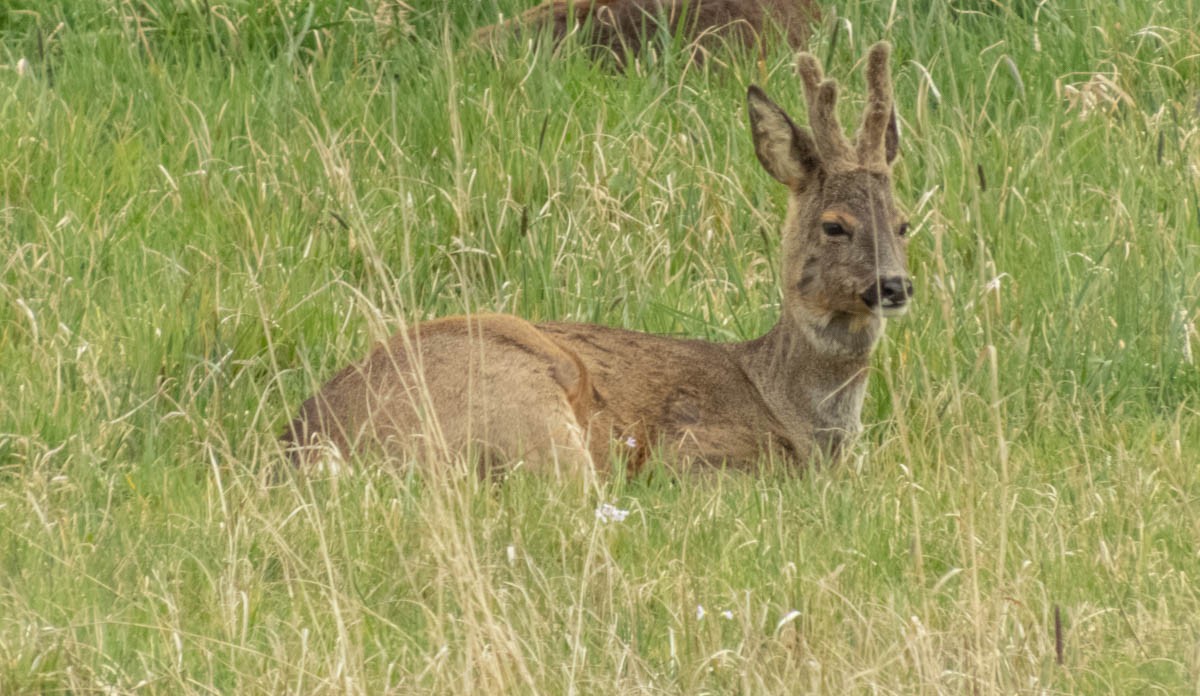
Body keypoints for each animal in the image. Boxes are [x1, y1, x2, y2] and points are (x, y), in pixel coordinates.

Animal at [283, 40, 907, 477]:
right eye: (835, 225)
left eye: (903, 223)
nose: (895, 285)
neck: (788, 406)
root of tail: (304, 442)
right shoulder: (696, 450)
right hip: (532, 410)